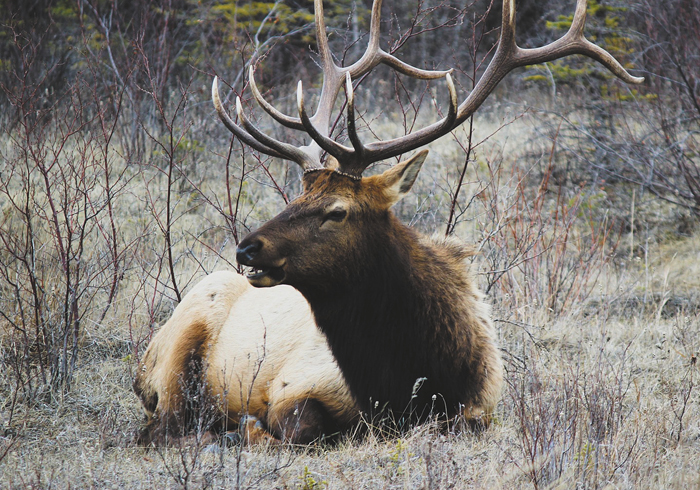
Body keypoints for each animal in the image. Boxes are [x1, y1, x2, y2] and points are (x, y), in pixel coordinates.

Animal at [134, 0, 644, 444]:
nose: (247, 247)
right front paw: (247, 427)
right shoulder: (291, 386)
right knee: (161, 427)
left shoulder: (480, 407)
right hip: (178, 349)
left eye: (337, 210)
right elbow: (295, 429)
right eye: (298, 195)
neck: (405, 379)